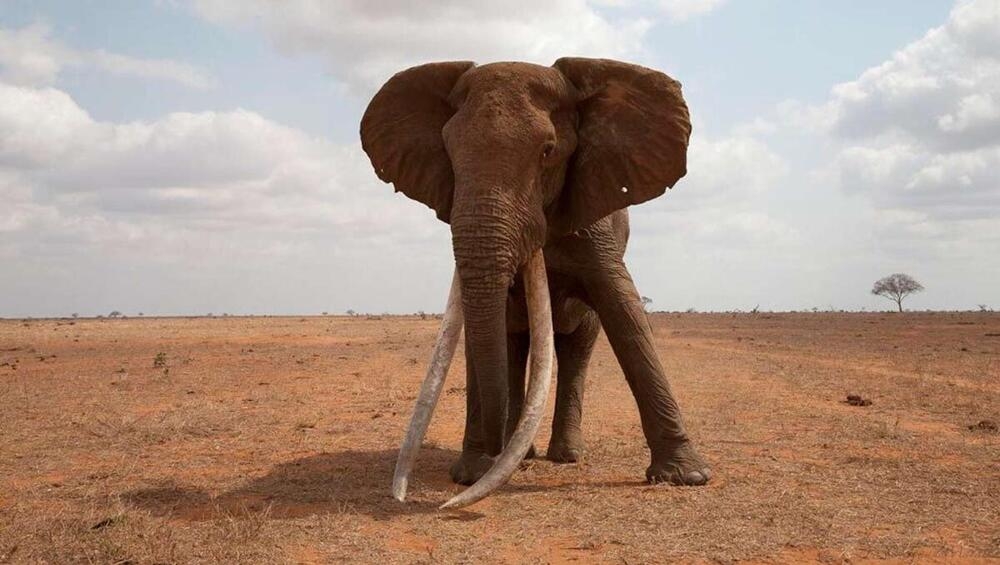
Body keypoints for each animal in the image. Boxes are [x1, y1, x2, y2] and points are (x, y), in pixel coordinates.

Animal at [360, 57, 711, 508]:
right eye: (449, 153)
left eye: (547, 151)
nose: (495, 455)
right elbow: (482, 334)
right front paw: (473, 473)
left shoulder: (595, 225)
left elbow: (626, 314)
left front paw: (687, 477)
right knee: (514, 344)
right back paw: (523, 452)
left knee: (577, 348)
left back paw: (563, 456)